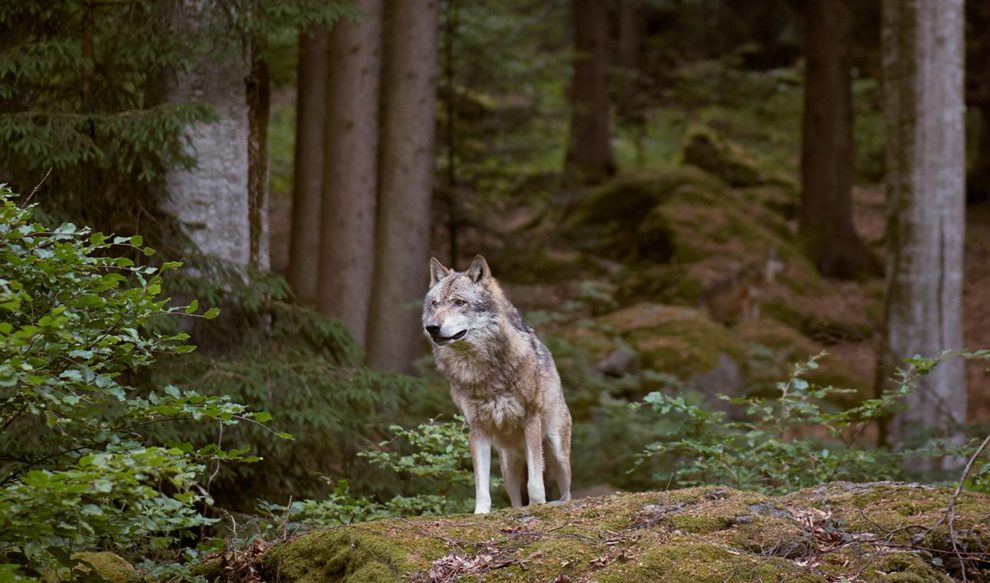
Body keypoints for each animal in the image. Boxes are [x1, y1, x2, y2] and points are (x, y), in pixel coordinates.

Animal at [420, 256, 572, 516]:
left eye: (460, 303)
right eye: (434, 304)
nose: (432, 327)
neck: (482, 371)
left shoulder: (531, 418)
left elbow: (535, 482)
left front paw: (538, 505)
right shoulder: (476, 427)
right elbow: (481, 483)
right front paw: (481, 513)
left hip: (557, 453)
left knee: (567, 492)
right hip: (508, 468)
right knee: (514, 500)